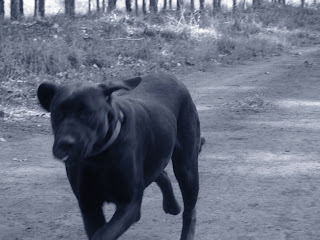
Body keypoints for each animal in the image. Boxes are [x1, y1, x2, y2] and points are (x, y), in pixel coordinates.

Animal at [37, 74, 202, 239]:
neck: (99, 158)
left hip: (186, 168)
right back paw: (172, 205)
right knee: (161, 174)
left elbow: (103, 234)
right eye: (57, 113)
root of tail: (172, 77)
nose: (65, 143)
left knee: (190, 211)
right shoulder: (89, 205)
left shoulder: (129, 203)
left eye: (87, 113)